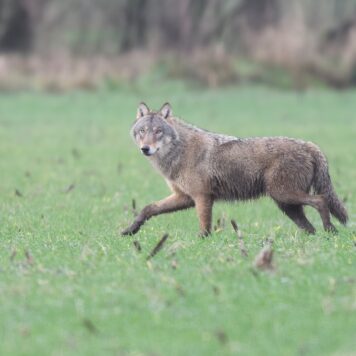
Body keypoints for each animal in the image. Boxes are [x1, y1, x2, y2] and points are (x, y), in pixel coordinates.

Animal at [121, 102, 348, 236]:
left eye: (158, 132)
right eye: (142, 131)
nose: (145, 148)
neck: (179, 152)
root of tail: (309, 145)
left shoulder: (202, 197)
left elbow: (205, 228)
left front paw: (202, 244)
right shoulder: (184, 197)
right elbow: (147, 209)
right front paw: (130, 230)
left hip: (284, 195)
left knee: (321, 201)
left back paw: (330, 232)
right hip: (286, 204)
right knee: (310, 227)